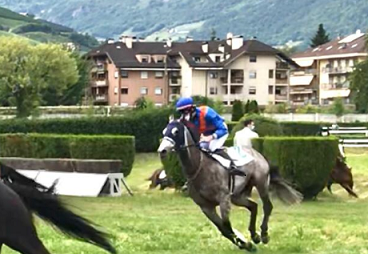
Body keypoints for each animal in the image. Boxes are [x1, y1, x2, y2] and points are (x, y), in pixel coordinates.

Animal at [160, 120, 304, 251]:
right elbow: (223, 229)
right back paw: (254, 236)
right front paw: (245, 243)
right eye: (164, 131)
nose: (162, 150)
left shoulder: (224, 199)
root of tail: (257, 153)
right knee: (253, 206)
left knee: (267, 206)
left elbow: (226, 225)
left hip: (261, 183)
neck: (199, 168)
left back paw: (263, 235)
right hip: (237, 196)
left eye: (176, 131)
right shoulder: (206, 206)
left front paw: (246, 244)